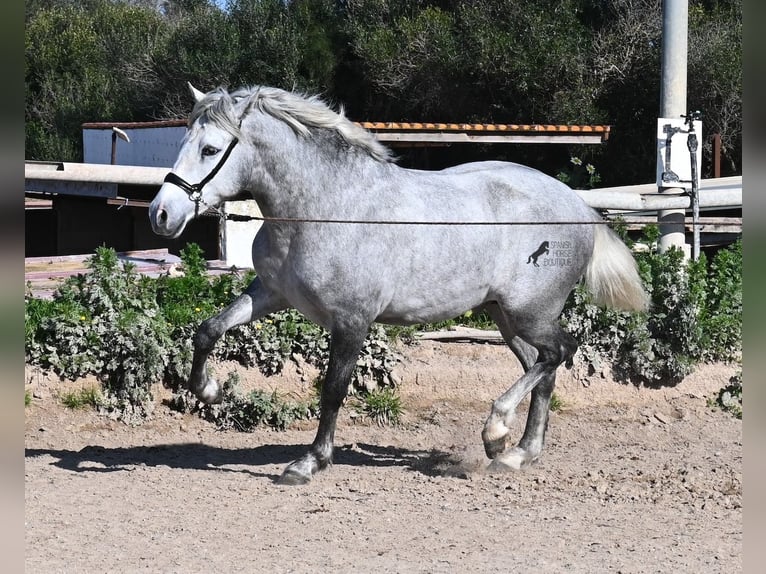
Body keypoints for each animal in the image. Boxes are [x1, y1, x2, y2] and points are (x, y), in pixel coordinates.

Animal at [148, 85, 648, 486]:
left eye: (210, 149)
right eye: (183, 141)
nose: (162, 214)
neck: (327, 209)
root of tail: (579, 207)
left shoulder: (352, 320)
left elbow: (333, 389)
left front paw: (309, 463)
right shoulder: (270, 294)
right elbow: (208, 330)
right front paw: (209, 391)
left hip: (531, 312)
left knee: (559, 352)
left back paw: (497, 431)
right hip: (506, 317)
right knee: (543, 368)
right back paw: (516, 453)